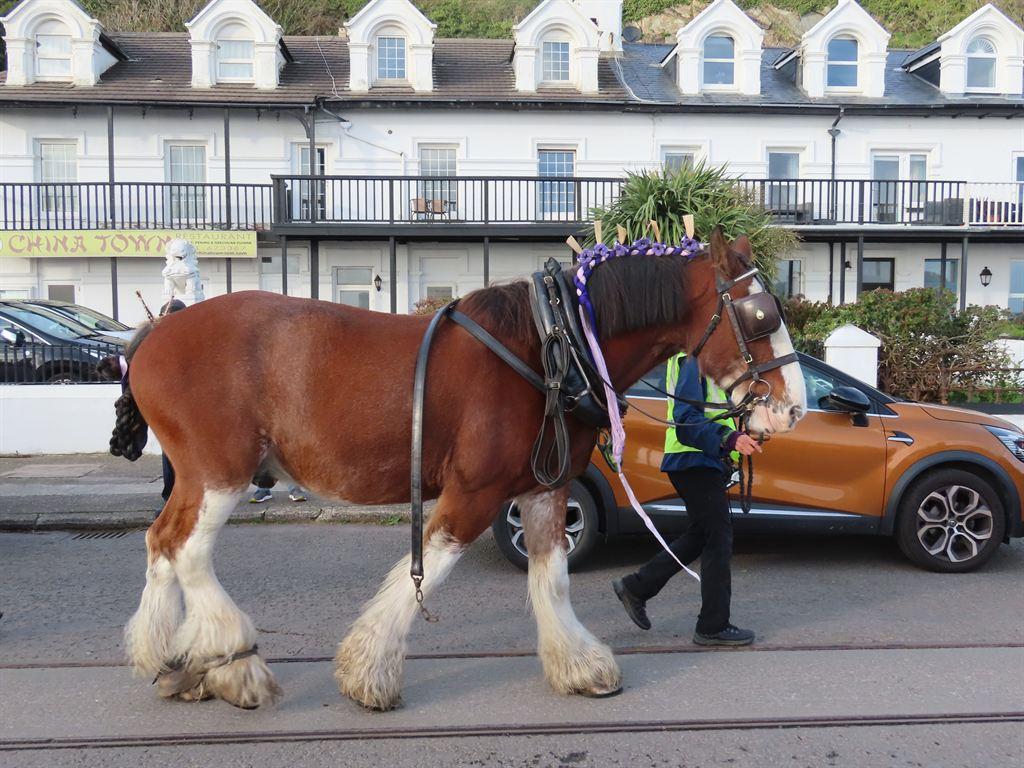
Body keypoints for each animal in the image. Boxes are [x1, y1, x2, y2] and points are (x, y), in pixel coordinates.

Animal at [112, 228, 806, 711]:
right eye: (761, 317)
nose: (794, 407)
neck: (550, 345)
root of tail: (153, 332)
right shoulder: (475, 492)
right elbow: (425, 570)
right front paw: (369, 673)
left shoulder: (544, 488)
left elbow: (552, 580)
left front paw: (578, 666)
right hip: (221, 472)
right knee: (188, 551)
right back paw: (232, 661)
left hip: (200, 478)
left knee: (162, 543)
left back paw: (171, 659)